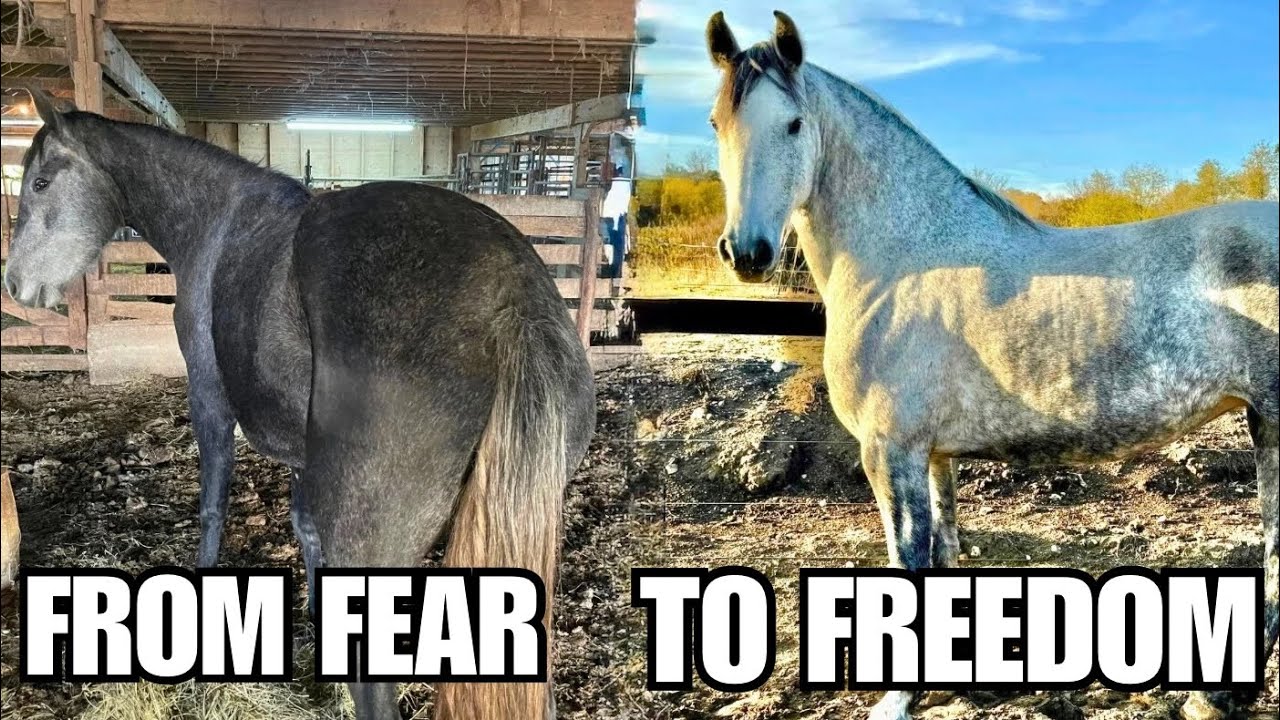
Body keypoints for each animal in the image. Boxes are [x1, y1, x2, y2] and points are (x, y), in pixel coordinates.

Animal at [3, 91, 596, 720]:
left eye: (40, 182)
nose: (15, 285)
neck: (219, 220)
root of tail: (511, 302)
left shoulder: (209, 402)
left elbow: (213, 508)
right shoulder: (301, 454)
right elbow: (304, 528)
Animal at [704, 11, 1277, 720]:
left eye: (792, 123)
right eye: (716, 123)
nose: (747, 253)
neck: (905, 261)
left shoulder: (889, 450)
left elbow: (910, 561)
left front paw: (897, 700)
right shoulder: (933, 455)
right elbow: (945, 553)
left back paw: (1216, 697)